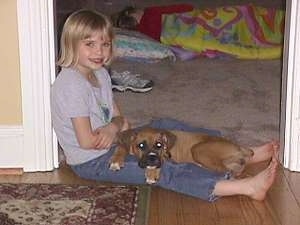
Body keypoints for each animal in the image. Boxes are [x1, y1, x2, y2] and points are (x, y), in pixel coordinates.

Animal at [109, 127, 254, 184]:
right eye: (141, 145)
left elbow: (156, 165)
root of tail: (238, 147)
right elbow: (121, 147)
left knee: (227, 171)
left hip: (198, 149)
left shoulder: (164, 157)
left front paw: (151, 173)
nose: (152, 158)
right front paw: (116, 161)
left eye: (159, 145)